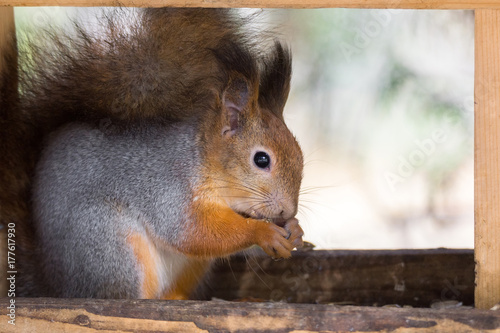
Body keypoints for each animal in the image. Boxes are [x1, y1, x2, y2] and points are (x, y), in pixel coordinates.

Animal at [0, 7, 304, 298]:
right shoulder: (167, 189)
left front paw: (296, 229)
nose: (287, 210)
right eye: (261, 159)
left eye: (300, 156)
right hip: (108, 243)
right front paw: (264, 232)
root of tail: (53, 285)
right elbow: (191, 233)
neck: (203, 161)